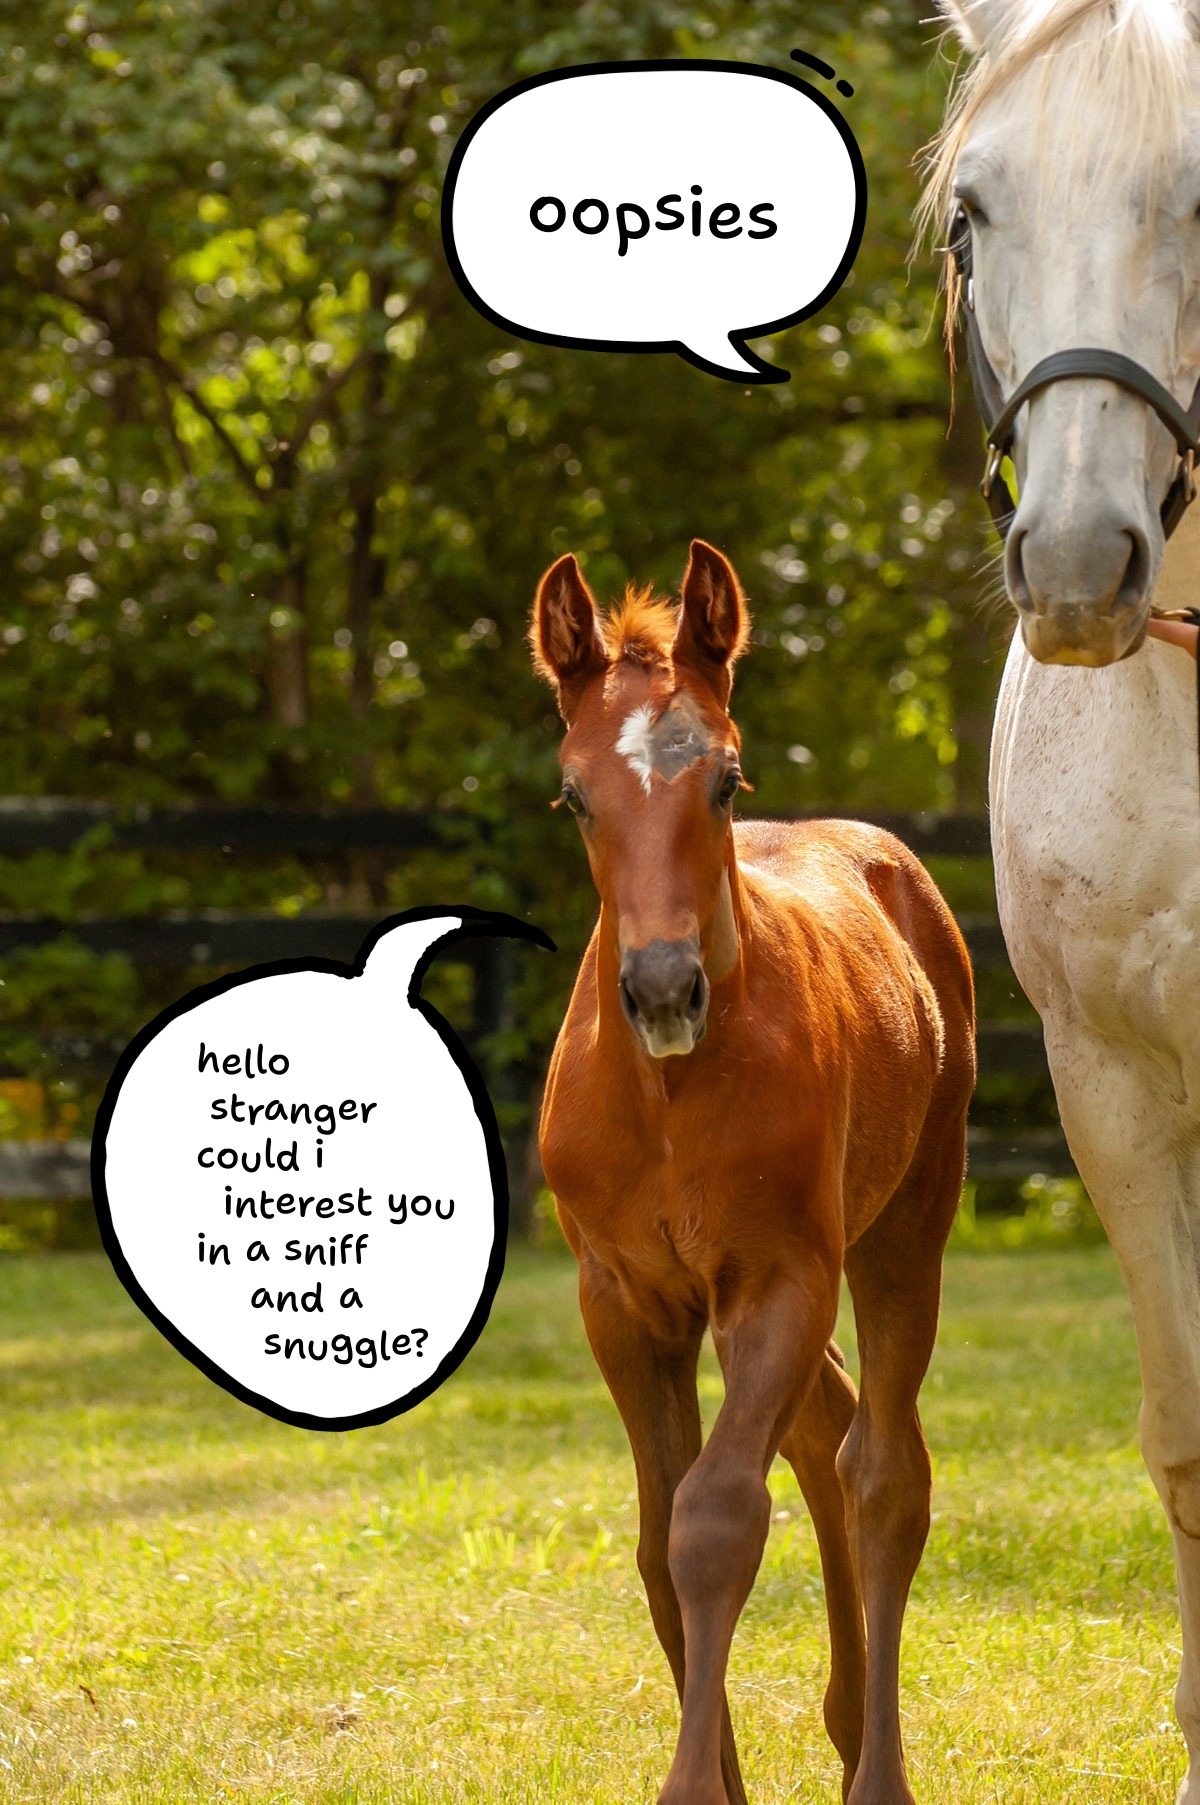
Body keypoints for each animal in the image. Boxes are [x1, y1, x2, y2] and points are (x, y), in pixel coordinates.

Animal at [531, 539, 975, 1805]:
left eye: (725, 779)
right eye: (574, 794)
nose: (663, 988)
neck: (671, 1097)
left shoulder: (780, 1276)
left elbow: (716, 1516)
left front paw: (697, 1786)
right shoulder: (626, 1302)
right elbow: (652, 1538)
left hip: (902, 1230)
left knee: (883, 1470)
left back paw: (878, 1769)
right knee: (827, 1432)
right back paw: (844, 1723)